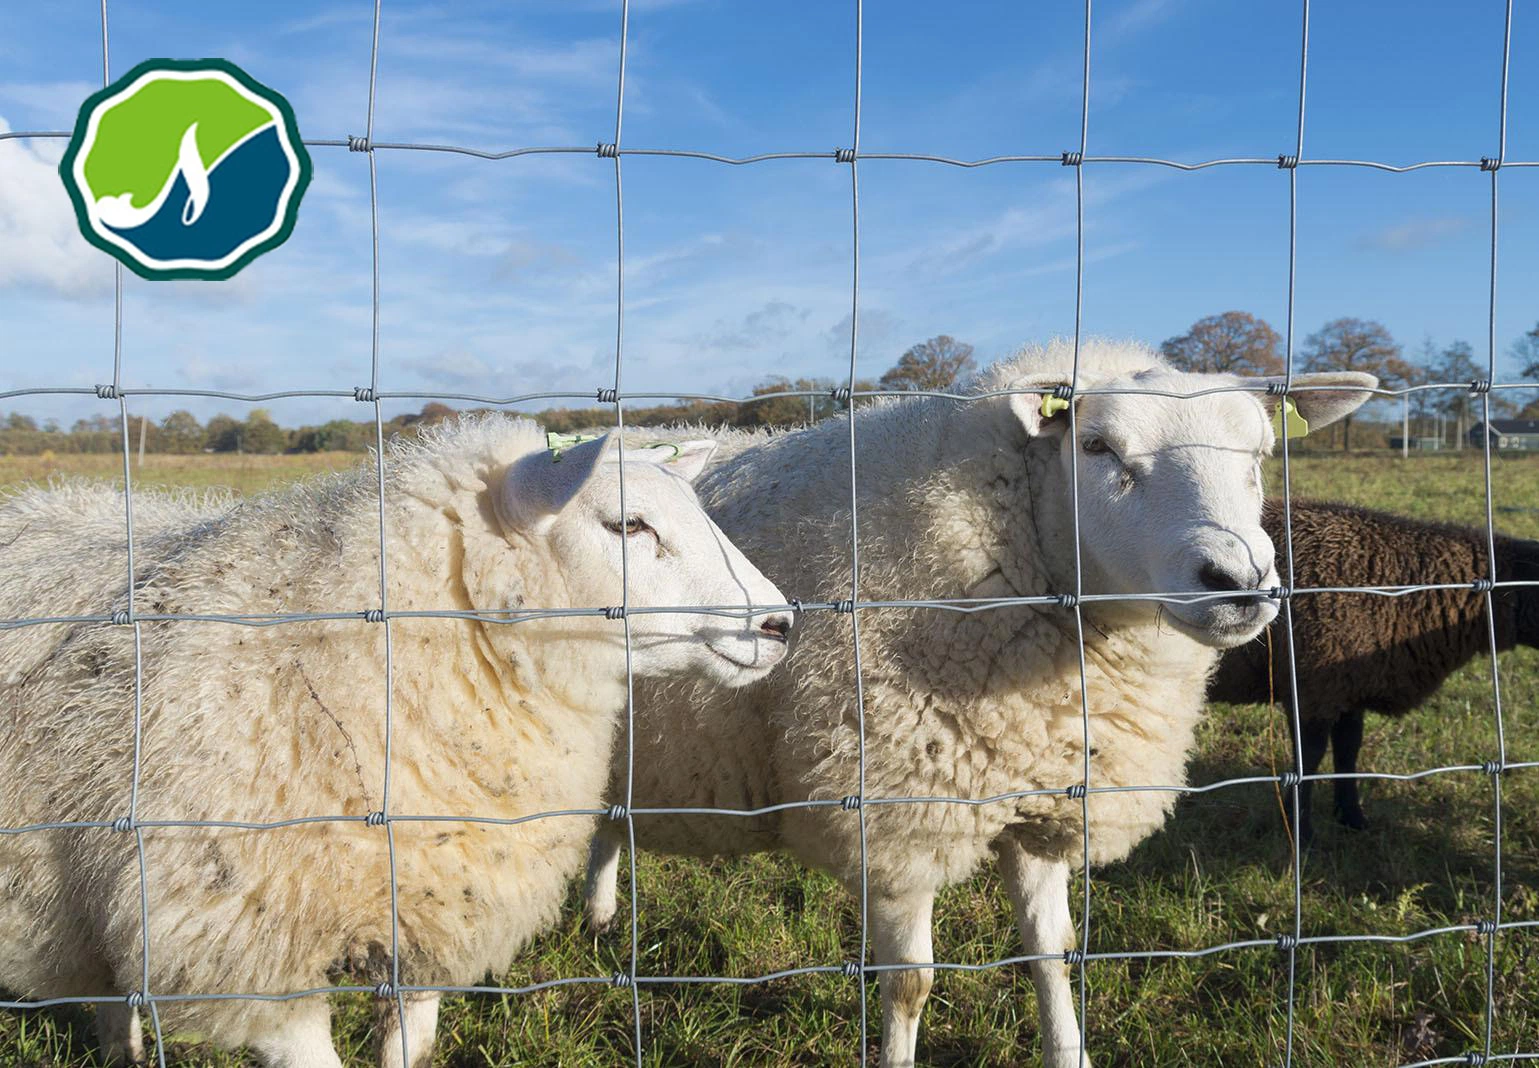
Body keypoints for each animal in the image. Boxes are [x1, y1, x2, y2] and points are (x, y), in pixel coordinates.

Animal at [581, 343, 1378, 1068]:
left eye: (1260, 453)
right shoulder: (895, 820)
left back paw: (598, 914)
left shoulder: (1045, 799)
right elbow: (909, 985)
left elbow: (1053, 953)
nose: (1239, 582)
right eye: (1096, 446)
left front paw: (1068, 1052)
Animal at [1206, 501, 1532, 843]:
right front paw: (1302, 832)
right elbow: (1308, 760)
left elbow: (1348, 750)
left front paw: (1352, 817)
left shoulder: (1349, 687)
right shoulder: (1314, 689)